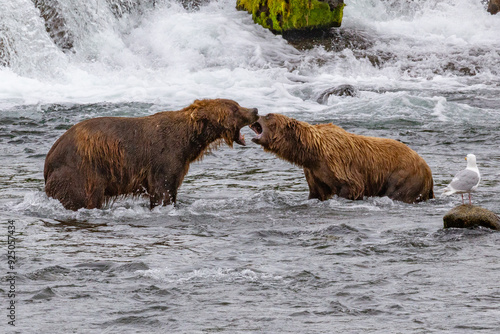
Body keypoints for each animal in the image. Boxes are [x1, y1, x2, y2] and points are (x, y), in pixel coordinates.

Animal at [45, 98, 260, 210]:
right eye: (235, 108)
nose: (255, 109)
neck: (189, 140)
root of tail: (49, 158)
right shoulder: (165, 158)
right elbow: (162, 190)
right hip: (81, 171)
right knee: (80, 197)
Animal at [250, 113, 434, 204]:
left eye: (268, 115)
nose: (256, 114)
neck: (312, 152)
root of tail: (428, 170)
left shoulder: (338, 164)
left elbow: (352, 186)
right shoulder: (314, 172)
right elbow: (317, 192)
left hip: (404, 176)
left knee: (396, 193)